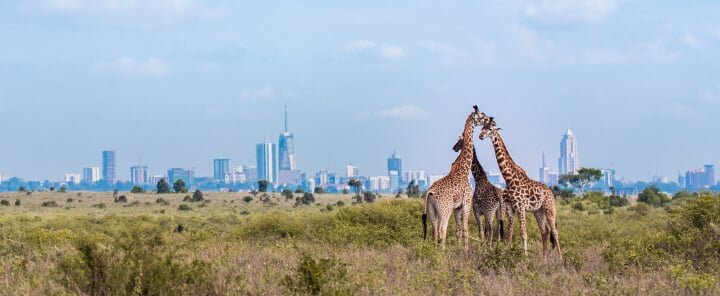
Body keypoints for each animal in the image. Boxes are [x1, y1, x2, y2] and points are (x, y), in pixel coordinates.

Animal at [424, 106, 486, 250]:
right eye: (481, 115)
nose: (488, 119)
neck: (464, 169)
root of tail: (430, 192)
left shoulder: (457, 207)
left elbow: (458, 230)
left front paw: (459, 249)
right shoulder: (466, 202)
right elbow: (465, 229)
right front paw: (465, 251)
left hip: (432, 210)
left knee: (434, 231)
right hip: (445, 209)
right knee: (442, 230)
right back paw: (442, 252)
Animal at [478, 118, 564, 260]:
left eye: (490, 129)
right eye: (482, 128)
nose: (480, 136)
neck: (509, 178)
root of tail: (551, 193)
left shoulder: (521, 207)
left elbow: (524, 233)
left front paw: (525, 257)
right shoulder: (510, 208)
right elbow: (510, 233)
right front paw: (507, 254)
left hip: (549, 208)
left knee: (555, 231)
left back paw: (561, 259)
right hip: (538, 211)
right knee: (545, 231)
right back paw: (544, 260)